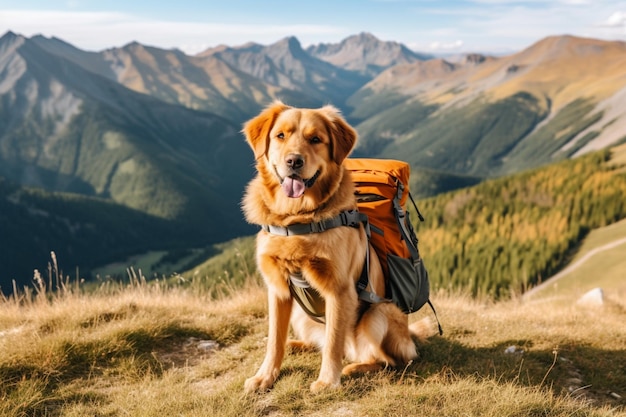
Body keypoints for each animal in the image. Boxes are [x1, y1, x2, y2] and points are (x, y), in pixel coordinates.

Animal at [241, 101, 426, 394]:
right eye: (280, 136)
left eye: (316, 139)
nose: (293, 161)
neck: (298, 221)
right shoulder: (278, 290)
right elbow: (274, 341)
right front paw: (264, 376)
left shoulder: (339, 291)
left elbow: (332, 343)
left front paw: (328, 381)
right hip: (302, 316)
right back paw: (296, 345)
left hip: (379, 313)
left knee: (386, 360)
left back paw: (354, 367)